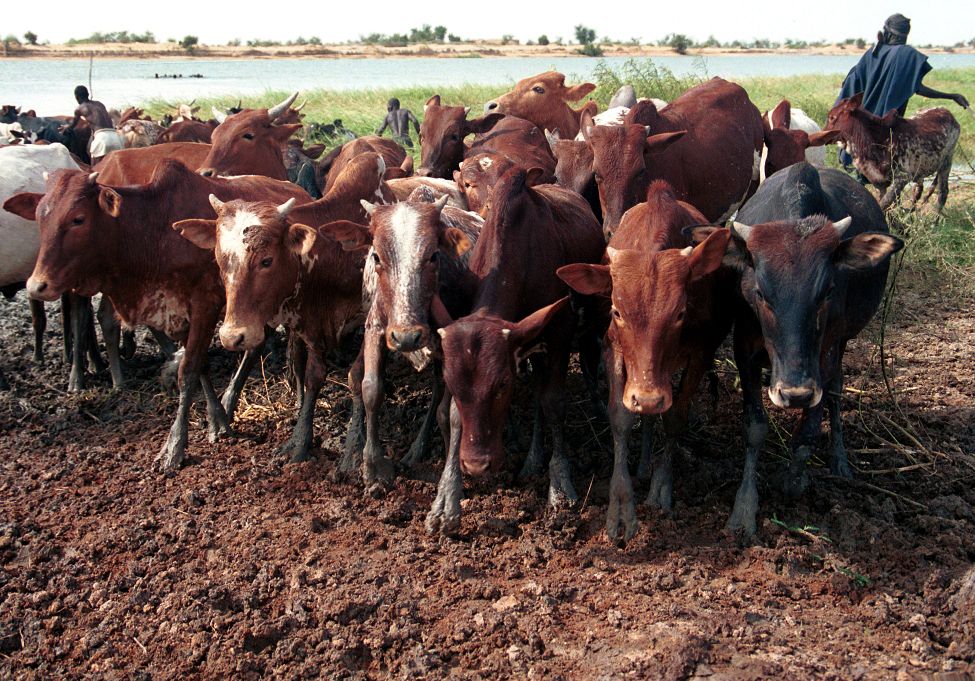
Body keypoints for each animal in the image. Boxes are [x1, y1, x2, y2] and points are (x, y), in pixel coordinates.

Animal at [7, 160, 309, 472]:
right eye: (40, 217)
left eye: (78, 219)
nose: (36, 285)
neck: (153, 229)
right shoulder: (179, 314)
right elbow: (199, 364)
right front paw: (217, 419)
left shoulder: (205, 304)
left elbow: (188, 370)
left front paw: (174, 446)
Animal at [426, 167, 605, 535]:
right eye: (451, 384)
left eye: (503, 385)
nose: (477, 465)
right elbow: (452, 414)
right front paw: (447, 497)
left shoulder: (559, 331)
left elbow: (553, 403)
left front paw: (559, 486)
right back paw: (533, 458)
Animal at [557, 181, 733, 543]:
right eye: (616, 311)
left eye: (680, 313)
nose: (648, 397)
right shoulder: (613, 347)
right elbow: (621, 417)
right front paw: (621, 507)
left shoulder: (701, 353)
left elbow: (675, 417)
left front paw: (660, 488)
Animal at [699, 162, 903, 536]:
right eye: (760, 292)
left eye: (827, 291)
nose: (794, 393)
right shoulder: (744, 350)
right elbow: (754, 427)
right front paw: (744, 508)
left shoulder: (825, 354)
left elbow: (809, 429)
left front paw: (794, 480)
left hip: (842, 345)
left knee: (835, 391)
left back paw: (839, 460)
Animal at [825, 93, 960, 212]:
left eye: (832, 117)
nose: (824, 134)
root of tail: (948, 112)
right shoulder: (880, 183)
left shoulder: (902, 177)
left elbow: (884, 204)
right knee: (919, 190)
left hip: (946, 163)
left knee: (943, 193)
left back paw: (933, 222)